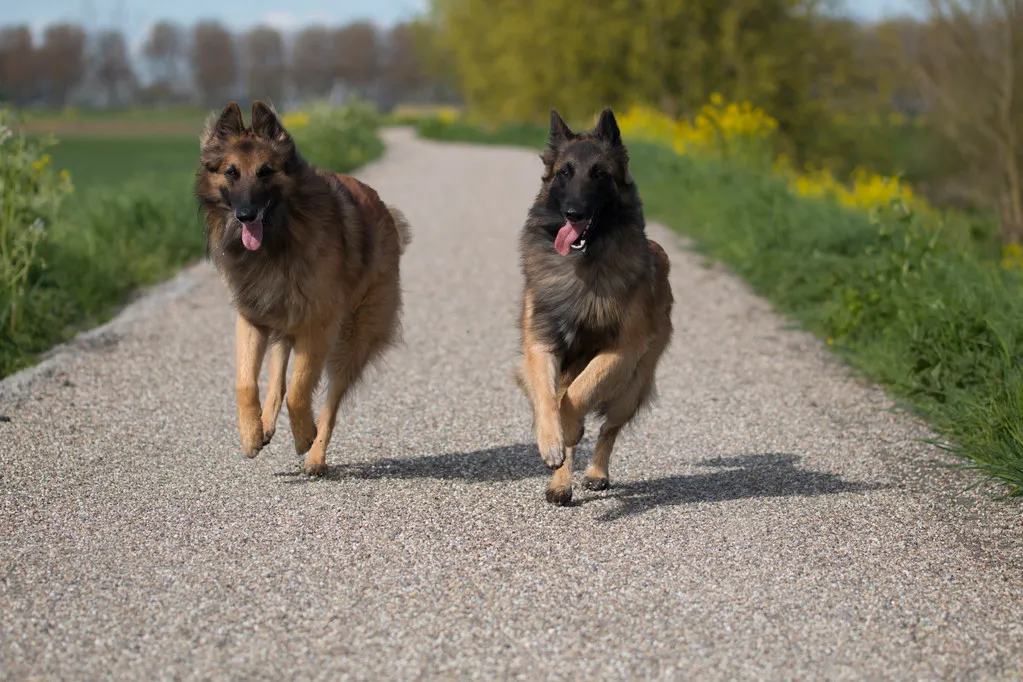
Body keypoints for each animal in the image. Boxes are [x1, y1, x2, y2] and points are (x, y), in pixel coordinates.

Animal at [193, 101, 409, 478]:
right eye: (231, 172)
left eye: (265, 172)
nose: (246, 215)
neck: (279, 239)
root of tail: (385, 211)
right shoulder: (253, 319)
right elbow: (247, 383)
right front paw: (251, 434)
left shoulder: (317, 327)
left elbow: (300, 391)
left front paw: (304, 435)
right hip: (284, 320)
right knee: (278, 376)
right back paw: (265, 424)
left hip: (352, 340)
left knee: (330, 401)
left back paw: (315, 456)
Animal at [515, 105, 675, 501]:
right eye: (564, 173)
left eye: (599, 174)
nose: (573, 213)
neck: (582, 266)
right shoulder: (541, 344)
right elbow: (549, 398)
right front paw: (552, 442)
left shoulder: (622, 351)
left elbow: (580, 393)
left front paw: (570, 430)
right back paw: (560, 482)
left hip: (631, 386)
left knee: (608, 429)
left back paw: (596, 471)